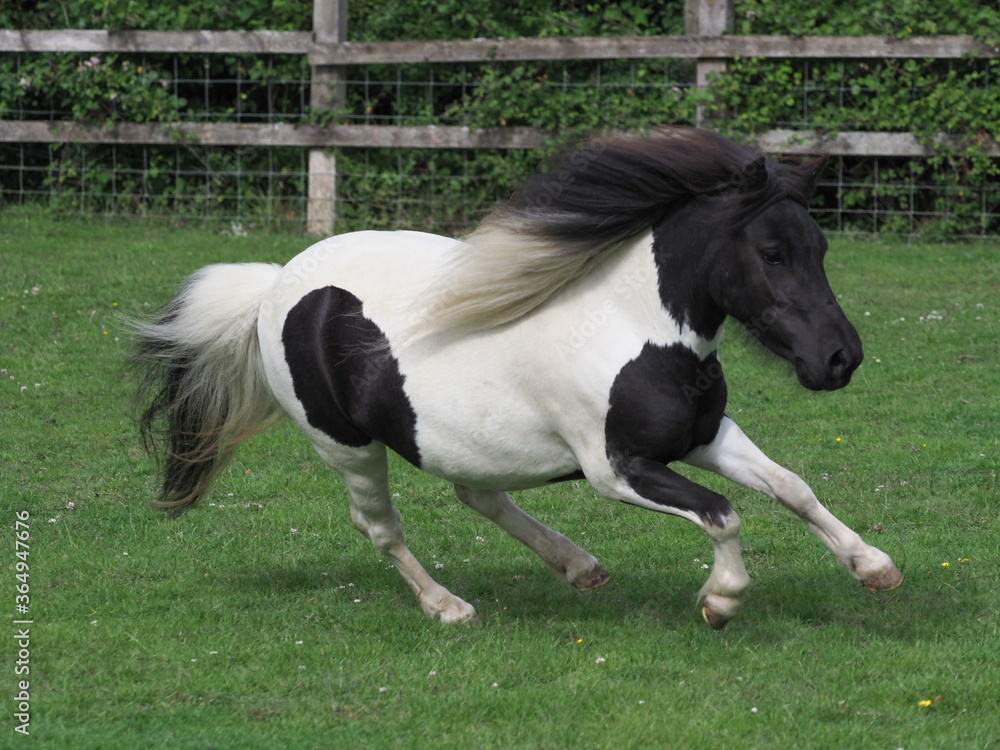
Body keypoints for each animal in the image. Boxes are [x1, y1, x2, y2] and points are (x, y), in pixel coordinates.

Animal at [135, 128, 908, 628]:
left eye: (820, 247)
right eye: (773, 253)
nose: (840, 358)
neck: (631, 327)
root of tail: (274, 285)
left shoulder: (705, 436)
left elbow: (792, 487)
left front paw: (874, 567)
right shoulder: (617, 469)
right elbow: (723, 512)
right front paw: (721, 600)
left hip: (466, 440)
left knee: (476, 492)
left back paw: (577, 565)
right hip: (346, 446)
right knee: (380, 526)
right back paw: (448, 607)